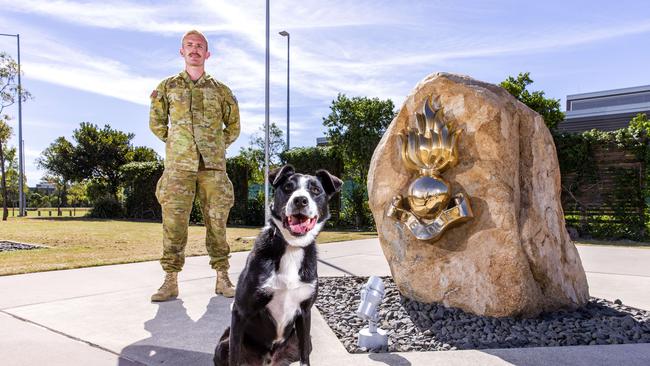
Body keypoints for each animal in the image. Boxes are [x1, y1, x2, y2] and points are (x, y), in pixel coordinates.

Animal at [214, 165, 344, 366]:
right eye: (288, 187)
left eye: (315, 190)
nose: (300, 200)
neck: (291, 247)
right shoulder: (240, 312)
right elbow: (234, 356)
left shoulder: (305, 312)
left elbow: (305, 356)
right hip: (222, 346)